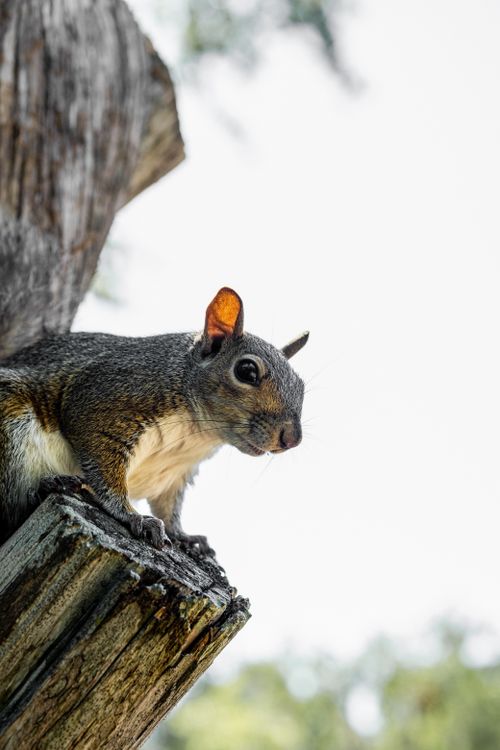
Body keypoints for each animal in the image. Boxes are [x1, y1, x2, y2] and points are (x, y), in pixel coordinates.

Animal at [0, 287, 308, 552]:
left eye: (301, 385)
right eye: (247, 371)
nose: (292, 439)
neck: (198, 432)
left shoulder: (174, 473)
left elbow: (168, 506)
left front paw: (184, 536)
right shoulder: (103, 401)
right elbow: (106, 474)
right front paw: (133, 516)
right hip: (9, 419)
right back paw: (48, 485)